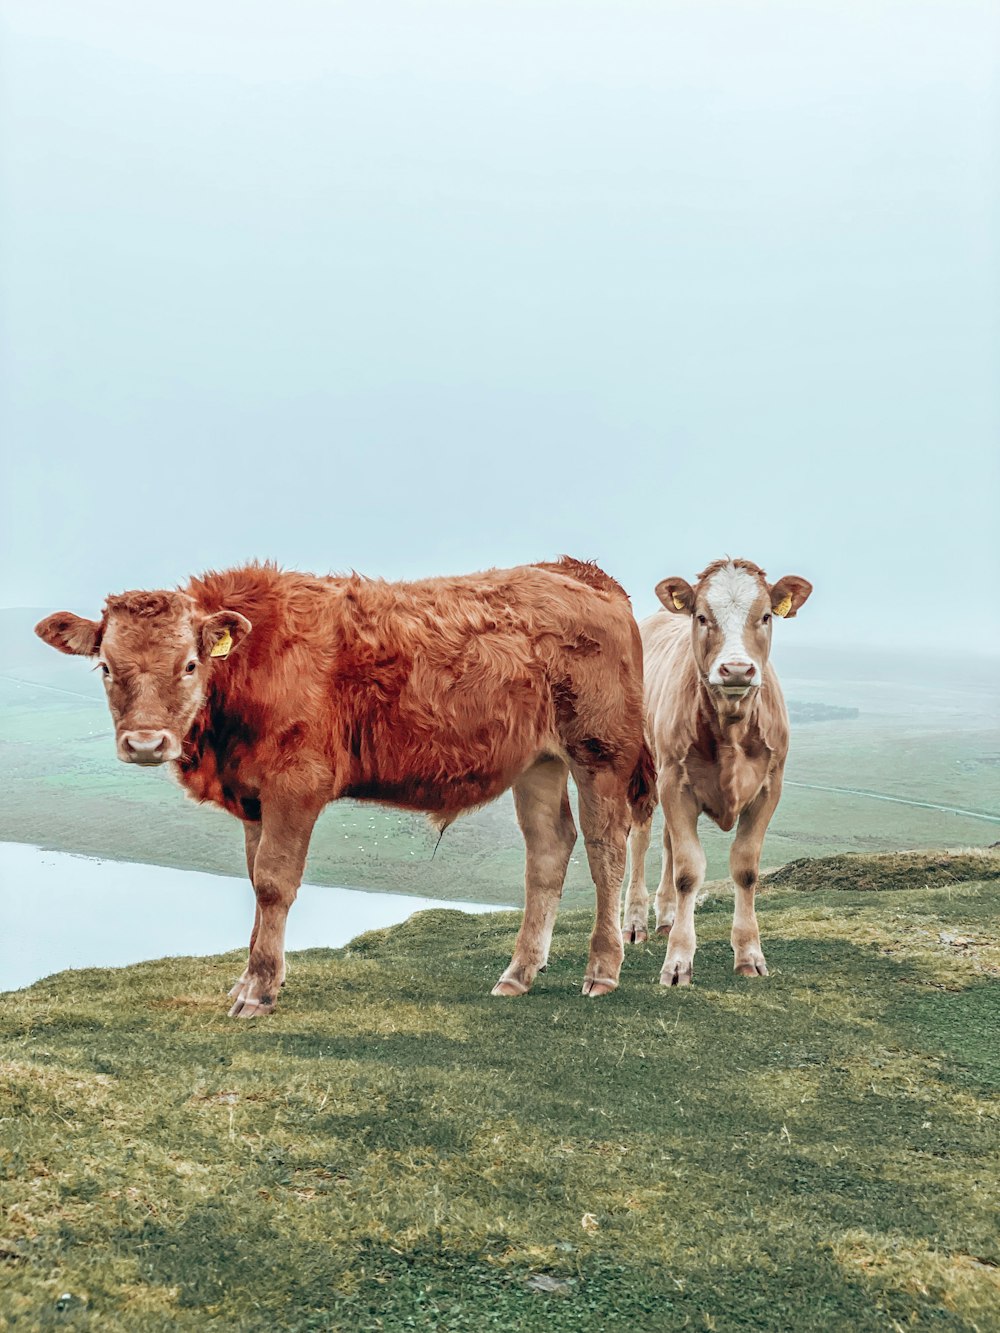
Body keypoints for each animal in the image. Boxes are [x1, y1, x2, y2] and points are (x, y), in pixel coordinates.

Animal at [35, 559, 658, 1007]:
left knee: (606, 848)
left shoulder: (296, 785)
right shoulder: (255, 797)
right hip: (538, 764)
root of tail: (576, 571)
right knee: (549, 850)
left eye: (189, 664)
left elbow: (274, 883)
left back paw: (602, 970)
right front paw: (249, 979)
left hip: (600, 751)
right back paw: (519, 972)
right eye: (106, 666)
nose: (145, 743)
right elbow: (254, 877)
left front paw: (260, 990)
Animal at [626, 557, 816, 986]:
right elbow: (688, 872)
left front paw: (749, 954)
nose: (737, 669)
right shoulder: (674, 783)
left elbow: (745, 869)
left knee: (666, 844)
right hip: (644, 770)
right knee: (641, 840)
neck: (731, 727)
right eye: (701, 616)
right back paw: (635, 923)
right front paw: (678, 961)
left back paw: (666, 917)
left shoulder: (769, 787)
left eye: (766, 615)